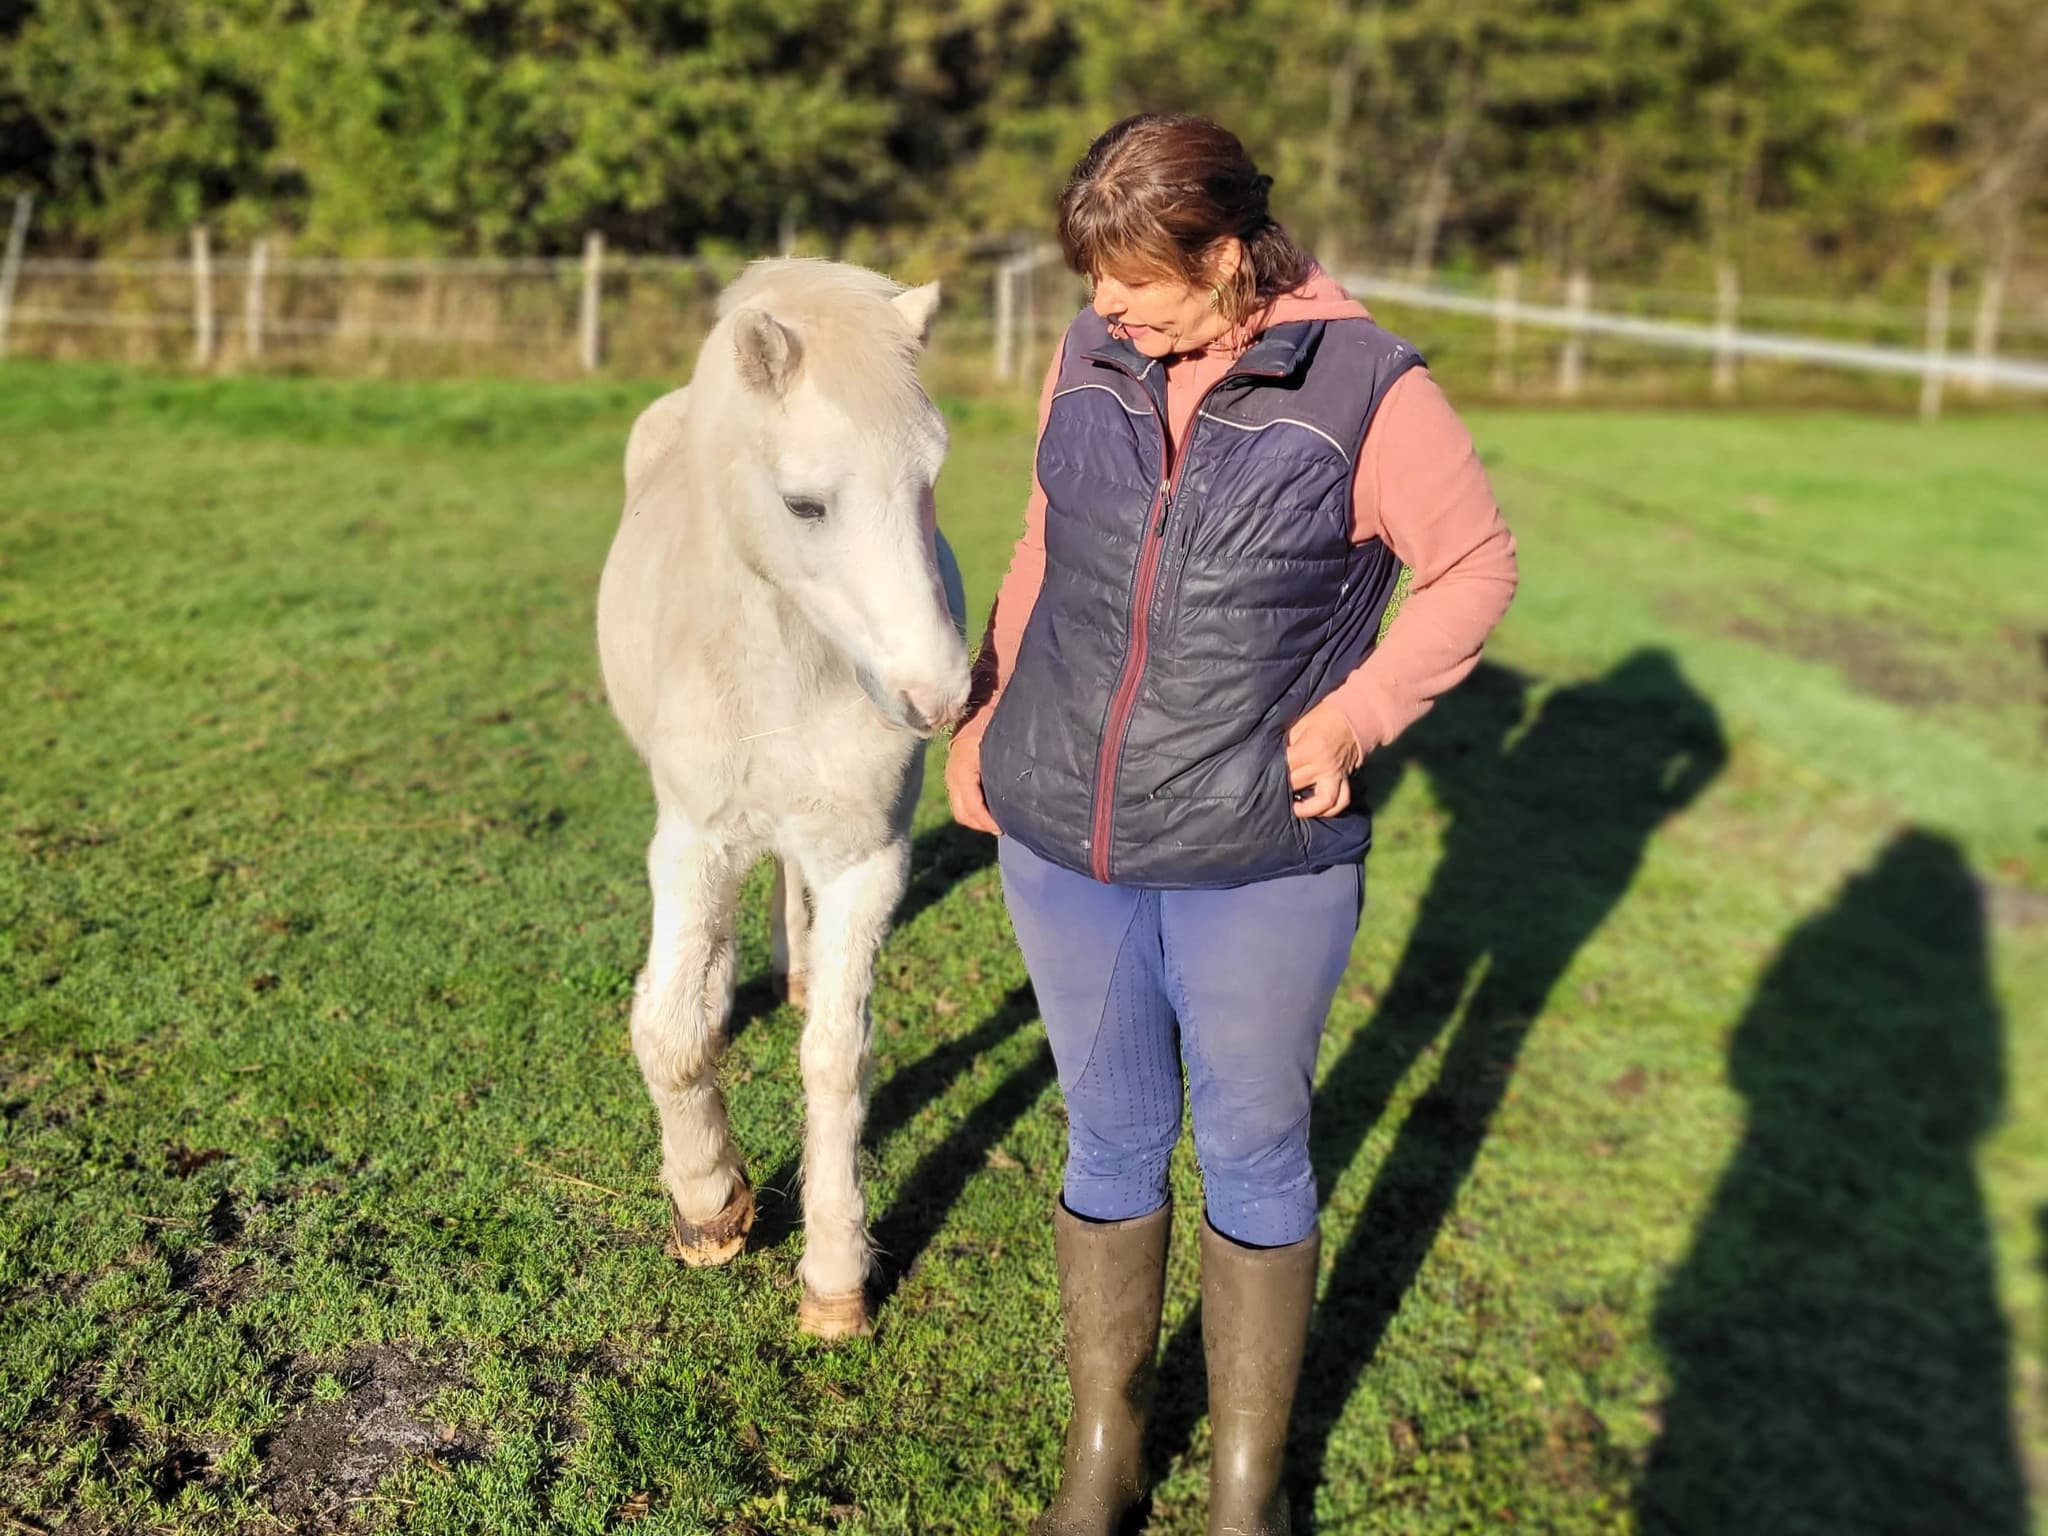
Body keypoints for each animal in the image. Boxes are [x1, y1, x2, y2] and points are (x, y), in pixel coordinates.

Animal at [596, 259, 971, 1339]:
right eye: (805, 504)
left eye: (930, 477)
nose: (941, 697)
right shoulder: (690, 843)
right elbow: (669, 1033)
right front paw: (709, 1205)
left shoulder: (866, 859)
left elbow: (835, 1061)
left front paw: (835, 1277)